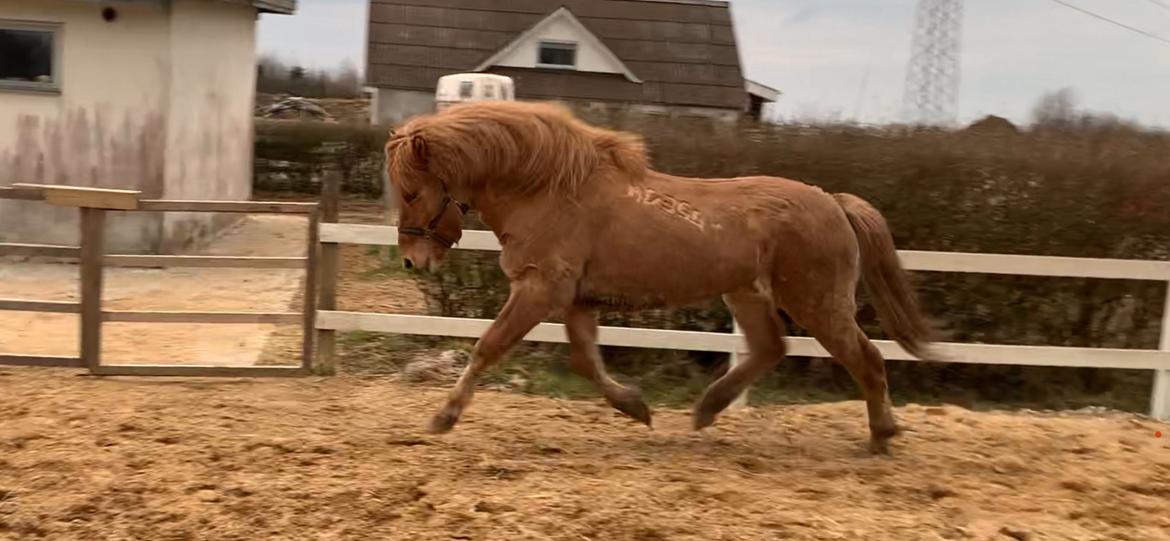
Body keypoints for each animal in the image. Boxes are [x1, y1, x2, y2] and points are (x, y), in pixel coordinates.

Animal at [383, 99, 940, 454]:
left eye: (410, 191)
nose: (413, 260)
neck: (548, 190)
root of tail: (833, 202)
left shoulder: (541, 289)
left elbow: (488, 347)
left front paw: (443, 417)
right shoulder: (577, 301)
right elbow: (585, 362)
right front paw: (636, 407)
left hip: (817, 301)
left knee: (866, 359)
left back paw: (882, 434)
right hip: (747, 293)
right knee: (770, 348)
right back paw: (707, 409)